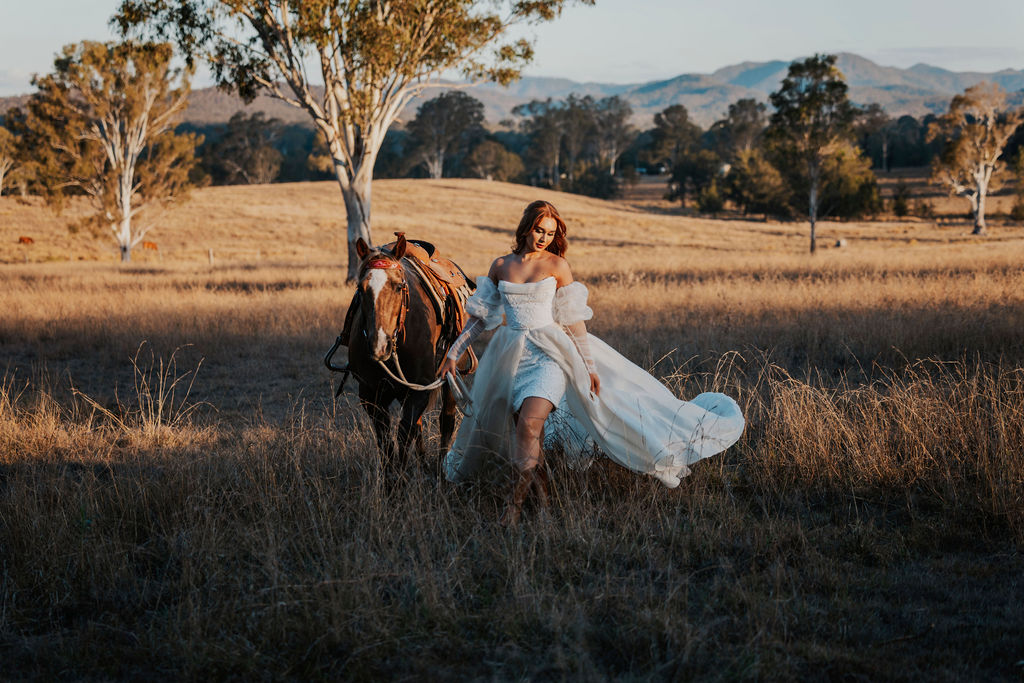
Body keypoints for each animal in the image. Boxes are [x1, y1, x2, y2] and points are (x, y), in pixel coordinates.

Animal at [331, 235, 468, 471]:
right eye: (361, 288)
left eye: (398, 287)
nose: (379, 345)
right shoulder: (371, 395)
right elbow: (387, 445)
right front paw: (391, 480)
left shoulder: (420, 391)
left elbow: (404, 438)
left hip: (450, 377)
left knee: (446, 421)